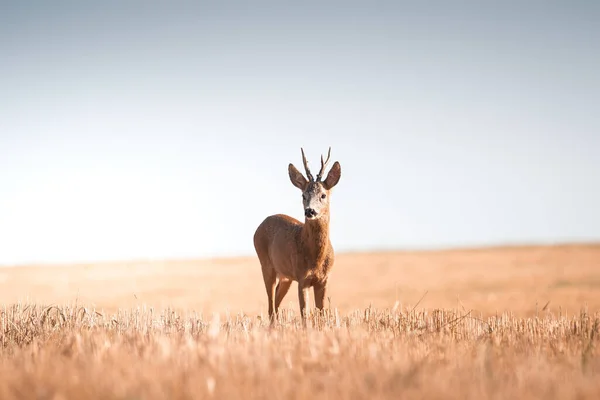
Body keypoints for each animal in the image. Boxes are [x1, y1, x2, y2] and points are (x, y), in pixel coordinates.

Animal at [251, 148, 340, 324]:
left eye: (323, 195)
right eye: (303, 195)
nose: (310, 211)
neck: (316, 259)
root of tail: (260, 226)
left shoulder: (324, 280)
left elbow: (322, 313)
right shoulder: (302, 278)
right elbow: (305, 315)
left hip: (286, 277)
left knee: (276, 302)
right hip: (266, 265)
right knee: (271, 305)